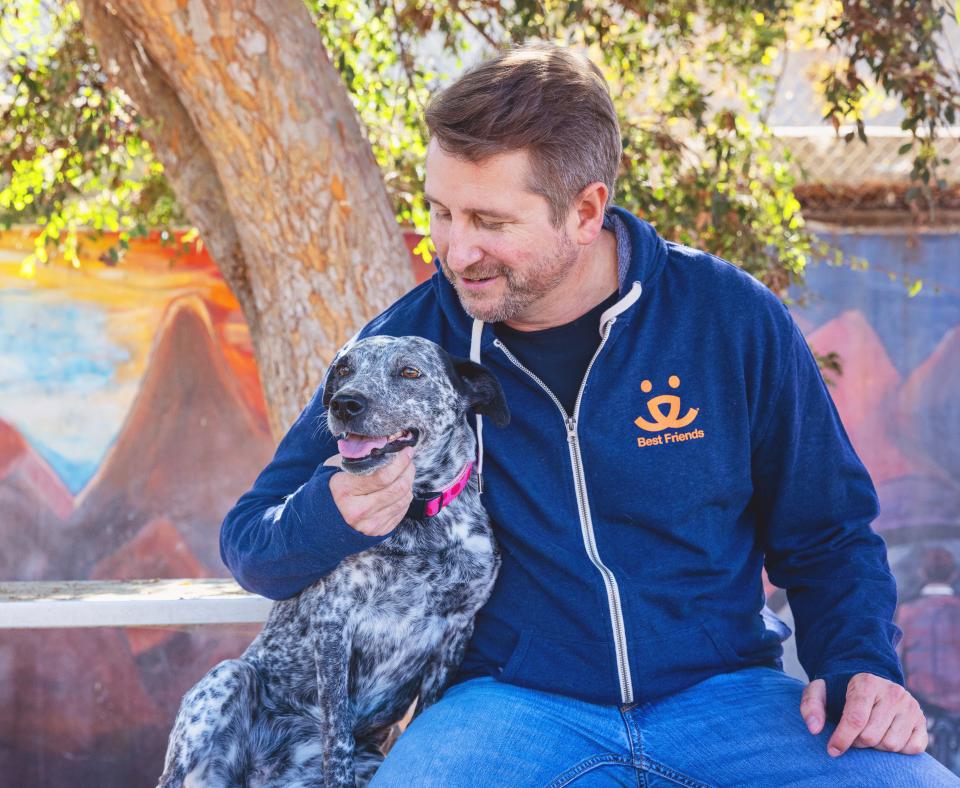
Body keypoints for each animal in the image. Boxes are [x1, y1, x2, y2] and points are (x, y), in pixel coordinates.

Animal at [158, 336, 510, 788]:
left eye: (410, 372)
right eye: (344, 369)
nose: (345, 403)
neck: (417, 522)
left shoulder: (457, 630)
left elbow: (426, 710)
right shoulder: (333, 623)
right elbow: (338, 735)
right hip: (226, 679)